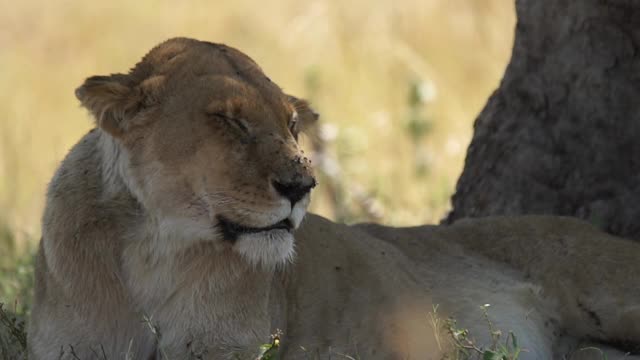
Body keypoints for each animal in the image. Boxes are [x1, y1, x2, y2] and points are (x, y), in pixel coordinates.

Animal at [27, 38, 640, 358]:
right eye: (229, 121)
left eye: (292, 124)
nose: (302, 188)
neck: (153, 248)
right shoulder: (73, 348)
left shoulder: (231, 347)